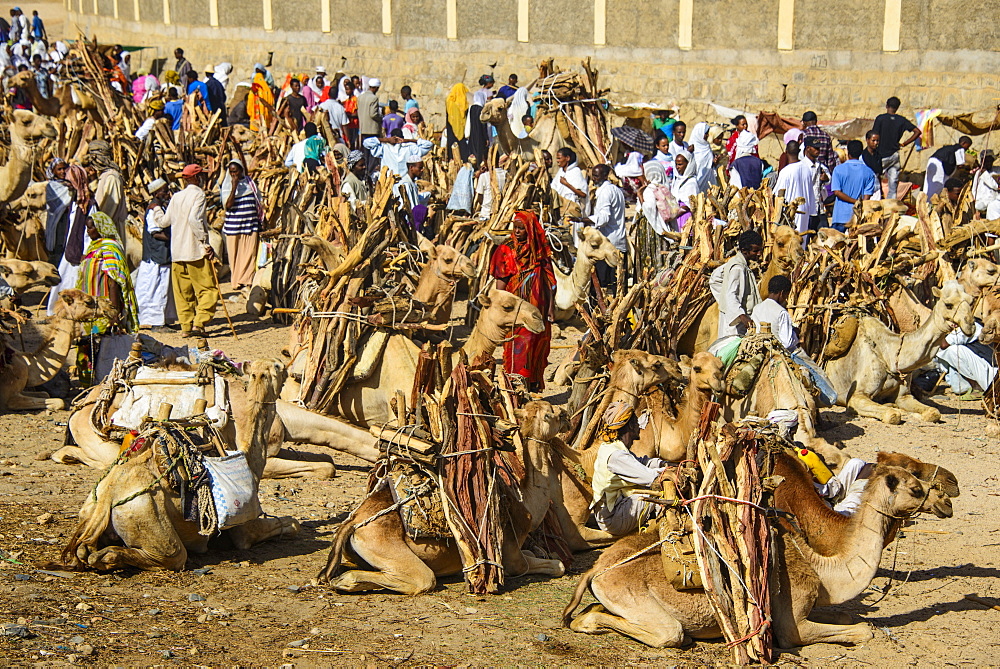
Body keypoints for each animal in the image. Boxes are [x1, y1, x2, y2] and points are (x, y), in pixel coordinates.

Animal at [58, 358, 298, 572]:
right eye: (279, 366)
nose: (289, 371)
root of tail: (106, 500)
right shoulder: (244, 528)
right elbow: (291, 523)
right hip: (149, 519)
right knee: (169, 555)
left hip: (89, 510)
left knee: (86, 549)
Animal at [316, 396, 568, 588]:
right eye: (550, 414)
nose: (565, 413)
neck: (525, 502)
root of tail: (354, 521)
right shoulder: (511, 557)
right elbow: (558, 566)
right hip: (385, 547)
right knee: (421, 580)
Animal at [564, 454, 944, 648]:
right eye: (914, 487)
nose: (945, 498)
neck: (822, 571)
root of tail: (595, 569)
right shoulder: (791, 623)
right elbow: (860, 629)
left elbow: (851, 618)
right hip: (638, 601)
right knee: (667, 633)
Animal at [820, 280, 976, 422]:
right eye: (948, 305)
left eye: (970, 301)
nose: (970, 326)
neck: (889, 354)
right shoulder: (856, 395)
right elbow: (892, 415)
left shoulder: (904, 396)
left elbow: (933, 412)